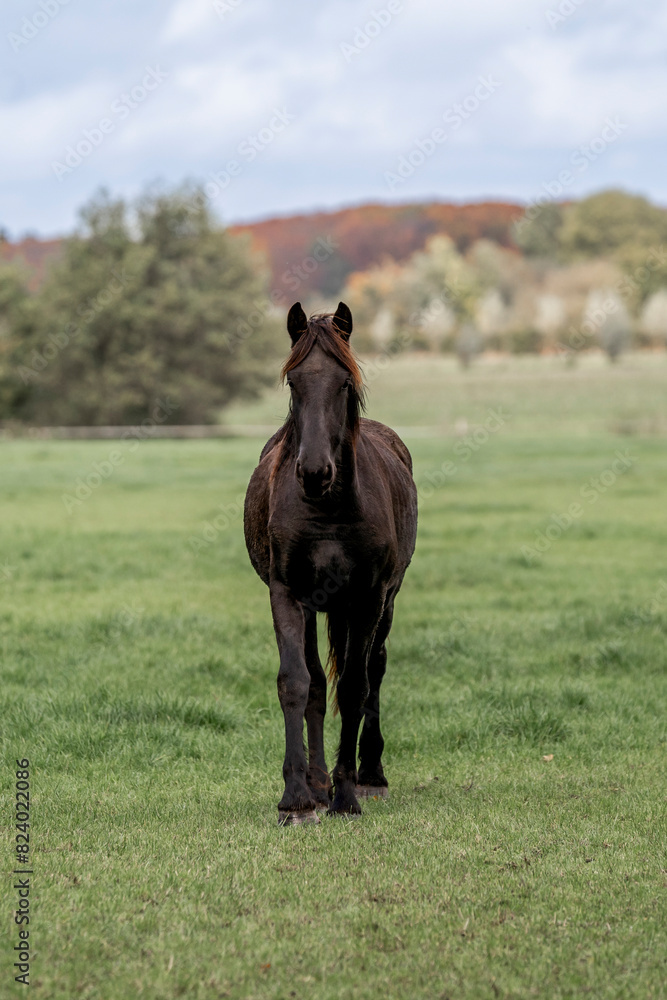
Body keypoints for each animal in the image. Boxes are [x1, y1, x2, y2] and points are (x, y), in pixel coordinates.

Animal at [244, 301, 418, 825]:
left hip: (383, 604)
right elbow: (297, 684)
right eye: (293, 382)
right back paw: (319, 785)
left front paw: (346, 794)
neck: (327, 510)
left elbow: (355, 687)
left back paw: (370, 776)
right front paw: (299, 797)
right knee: (319, 684)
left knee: (374, 670)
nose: (315, 471)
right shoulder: (287, 593)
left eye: (343, 383)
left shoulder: (368, 598)